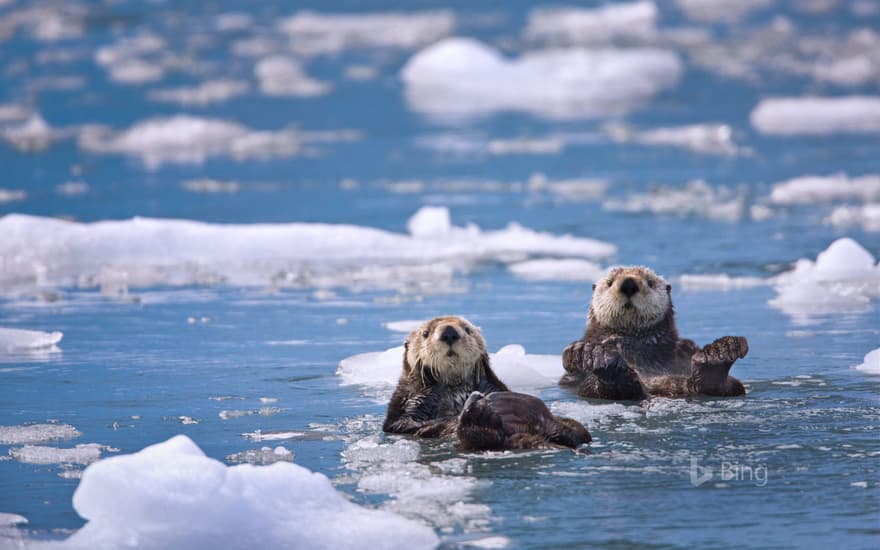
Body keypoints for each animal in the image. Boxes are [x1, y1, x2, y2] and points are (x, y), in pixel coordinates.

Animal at [384, 316, 592, 450]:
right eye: (426, 333)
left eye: (466, 329)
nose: (449, 332)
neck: (455, 390)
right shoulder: (408, 404)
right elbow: (410, 424)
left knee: (577, 431)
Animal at [564, 268, 748, 402]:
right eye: (609, 283)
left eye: (650, 282)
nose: (628, 284)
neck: (632, 339)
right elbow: (571, 356)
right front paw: (583, 351)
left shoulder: (683, 346)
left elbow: (686, 346)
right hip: (590, 388)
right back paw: (604, 362)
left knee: (727, 386)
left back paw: (719, 355)